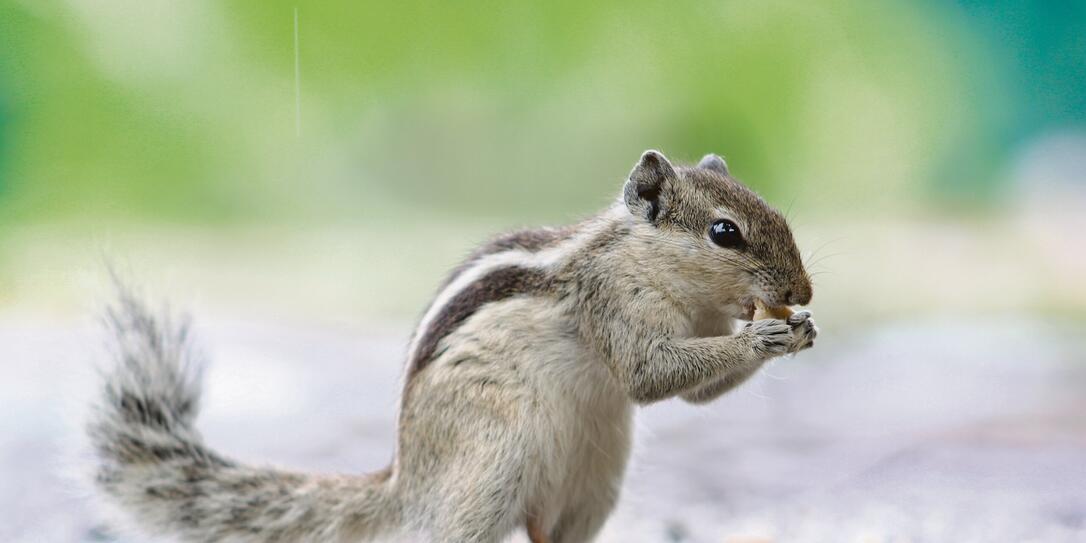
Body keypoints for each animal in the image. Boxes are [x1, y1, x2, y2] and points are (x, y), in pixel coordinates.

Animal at [86, 150, 816, 543]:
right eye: (725, 231)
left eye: (776, 211)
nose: (802, 289)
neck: (647, 261)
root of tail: (406, 484)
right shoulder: (612, 302)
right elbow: (647, 373)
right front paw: (766, 333)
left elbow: (692, 393)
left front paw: (799, 328)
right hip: (492, 458)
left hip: (592, 478)